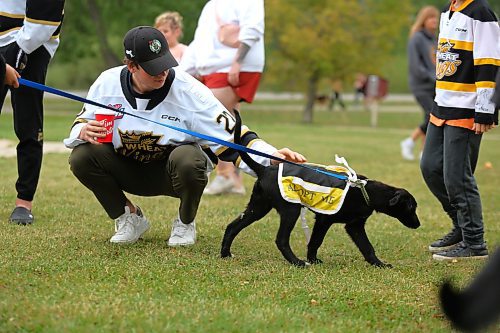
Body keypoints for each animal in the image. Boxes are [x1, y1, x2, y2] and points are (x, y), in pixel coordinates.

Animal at [221, 110, 420, 266]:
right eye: (411, 207)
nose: (418, 225)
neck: (366, 191)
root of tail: (264, 169)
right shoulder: (325, 220)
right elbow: (316, 241)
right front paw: (312, 260)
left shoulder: (354, 226)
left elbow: (367, 247)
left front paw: (378, 264)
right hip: (290, 210)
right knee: (281, 240)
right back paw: (297, 262)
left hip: (259, 206)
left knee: (232, 226)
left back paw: (225, 254)